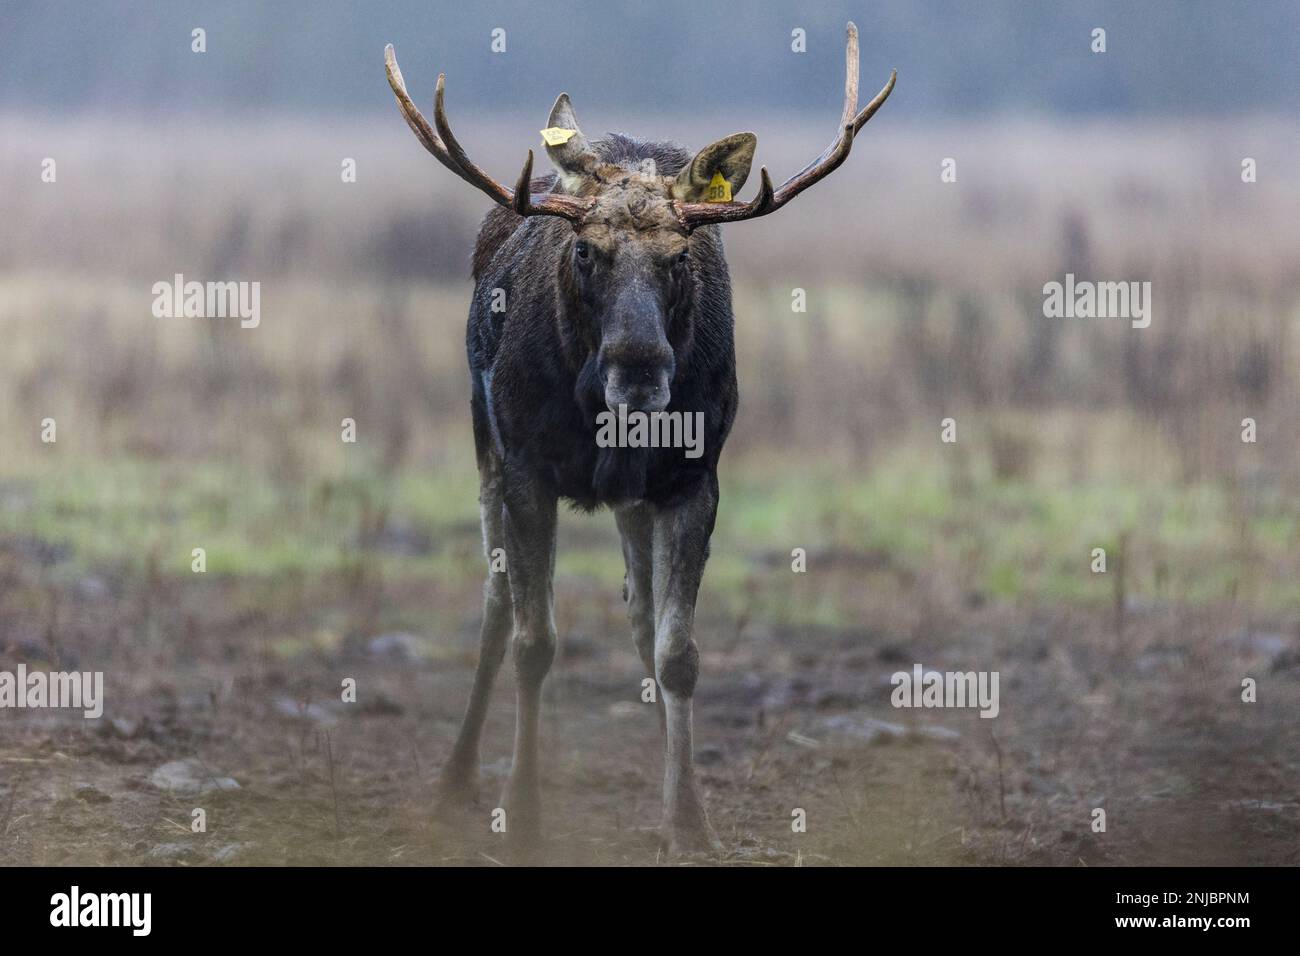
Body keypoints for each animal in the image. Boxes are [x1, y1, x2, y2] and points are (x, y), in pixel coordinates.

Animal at [384, 22, 894, 858]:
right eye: (585, 251)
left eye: (680, 257)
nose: (640, 368)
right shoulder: (525, 469)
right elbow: (534, 640)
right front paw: (522, 813)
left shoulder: (694, 478)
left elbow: (677, 650)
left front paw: (690, 818)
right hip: (483, 442)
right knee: (494, 605)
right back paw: (454, 782)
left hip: (631, 495)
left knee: (636, 613)